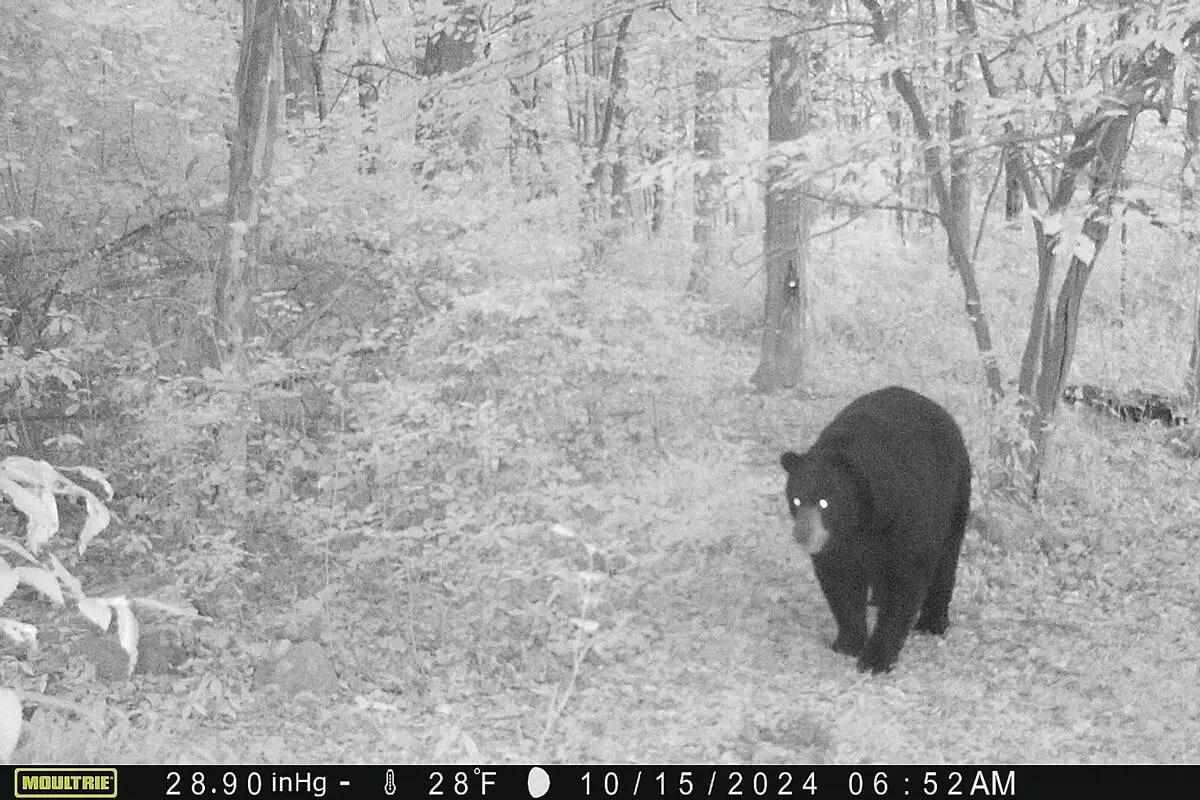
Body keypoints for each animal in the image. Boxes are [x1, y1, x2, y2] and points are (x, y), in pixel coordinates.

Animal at [779, 386, 971, 674]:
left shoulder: (906, 519)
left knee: (946, 557)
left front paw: (875, 659)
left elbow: (906, 582)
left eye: (825, 502)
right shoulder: (838, 545)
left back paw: (933, 621)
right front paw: (848, 642)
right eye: (797, 499)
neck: (860, 522)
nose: (803, 535)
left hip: (954, 496)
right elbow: (839, 582)